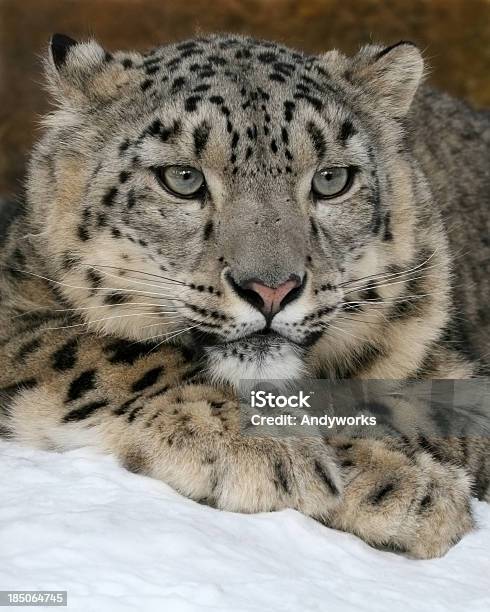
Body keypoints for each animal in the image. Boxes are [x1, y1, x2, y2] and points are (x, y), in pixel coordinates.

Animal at [0, 34, 488, 560]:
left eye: (332, 179)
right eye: (183, 178)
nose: (271, 288)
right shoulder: (18, 311)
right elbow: (118, 353)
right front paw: (291, 454)